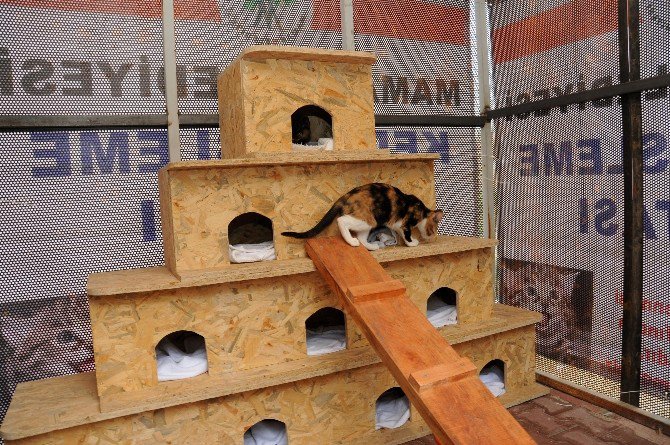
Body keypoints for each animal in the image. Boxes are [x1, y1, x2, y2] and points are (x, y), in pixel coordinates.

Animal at [280, 181, 444, 250]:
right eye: (433, 229)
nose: (431, 237)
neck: (422, 211)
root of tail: (345, 197)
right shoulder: (406, 223)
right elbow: (407, 234)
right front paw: (413, 243)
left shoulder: (398, 225)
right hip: (368, 219)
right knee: (342, 220)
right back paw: (351, 241)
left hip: (368, 224)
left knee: (362, 238)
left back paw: (371, 246)